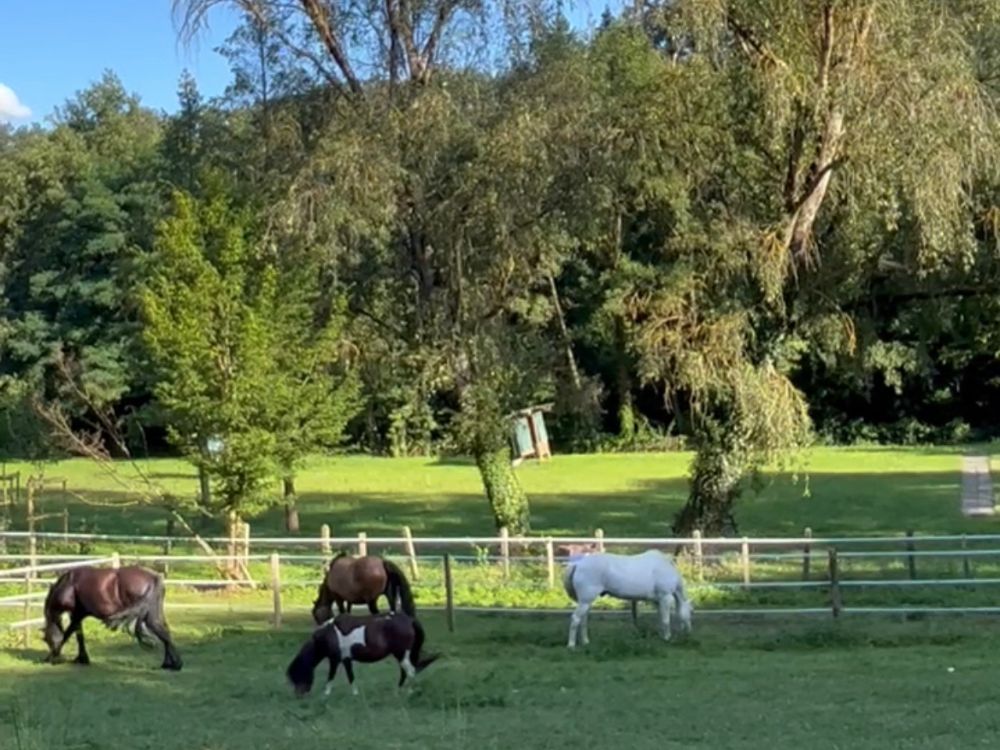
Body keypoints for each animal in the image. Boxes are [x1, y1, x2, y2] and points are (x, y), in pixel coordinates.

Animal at [41, 564, 184, 668]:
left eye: (46, 640)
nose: (52, 651)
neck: (69, 583)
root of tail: (154, 577)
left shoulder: (76, 615)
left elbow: (67, 634)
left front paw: (51, 657)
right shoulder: (78, 615)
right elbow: (78, 635)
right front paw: (82, 658)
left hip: (148, 617)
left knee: (163, 632)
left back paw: (175, 664)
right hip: (154, 613)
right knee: (165, 631)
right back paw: (169, 664)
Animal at [284, 612, 436, 700]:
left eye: (297, 674)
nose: (298, 695)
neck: (327, 634)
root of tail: (409, 620)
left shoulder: (334, 659)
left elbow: (330, 677)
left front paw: (325, 695)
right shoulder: (346, 659)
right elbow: (351, 677)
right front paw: (355, 695)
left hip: (401, 654)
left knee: (410, 671)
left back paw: (409, 693)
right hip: (401, 655)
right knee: (405, 672)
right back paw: (398, 692)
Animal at [564, 548, 696, 648]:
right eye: (691, 611)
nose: (689, 633)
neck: (666, 566)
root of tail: (578, 564)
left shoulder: (657, 601)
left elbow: (660, 619)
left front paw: (662, 636)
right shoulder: (665, 597)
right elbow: (665, 620)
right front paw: (667, 638)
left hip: (586, 602)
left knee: (583, 620)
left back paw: (585, 642)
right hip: (585, 601)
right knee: (575, 619)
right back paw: (571, 645)